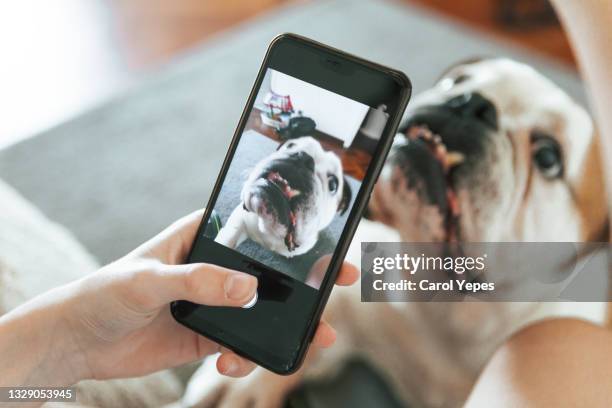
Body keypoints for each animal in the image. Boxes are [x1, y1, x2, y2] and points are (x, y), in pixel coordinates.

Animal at [215, 137, 352, 258]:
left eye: (333, 184)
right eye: (290, 145)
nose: (304, 157)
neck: (269, 228)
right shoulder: (239, 220)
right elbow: (229, 236)